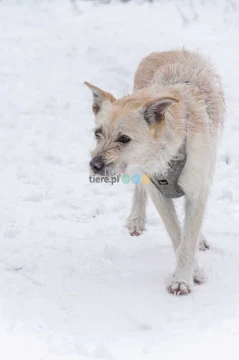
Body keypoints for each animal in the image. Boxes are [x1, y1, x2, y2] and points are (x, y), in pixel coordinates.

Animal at [85, 49, 225, 294]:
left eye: (124, 139)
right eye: (97, 133)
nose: (95, 165)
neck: (166, 152)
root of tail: (168, 51)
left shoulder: (197, 190)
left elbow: (188, 235)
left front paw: (183, 278)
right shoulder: (157, 191)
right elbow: (177, 235)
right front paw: (192, 272)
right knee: (140, 188)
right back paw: (136, 219)